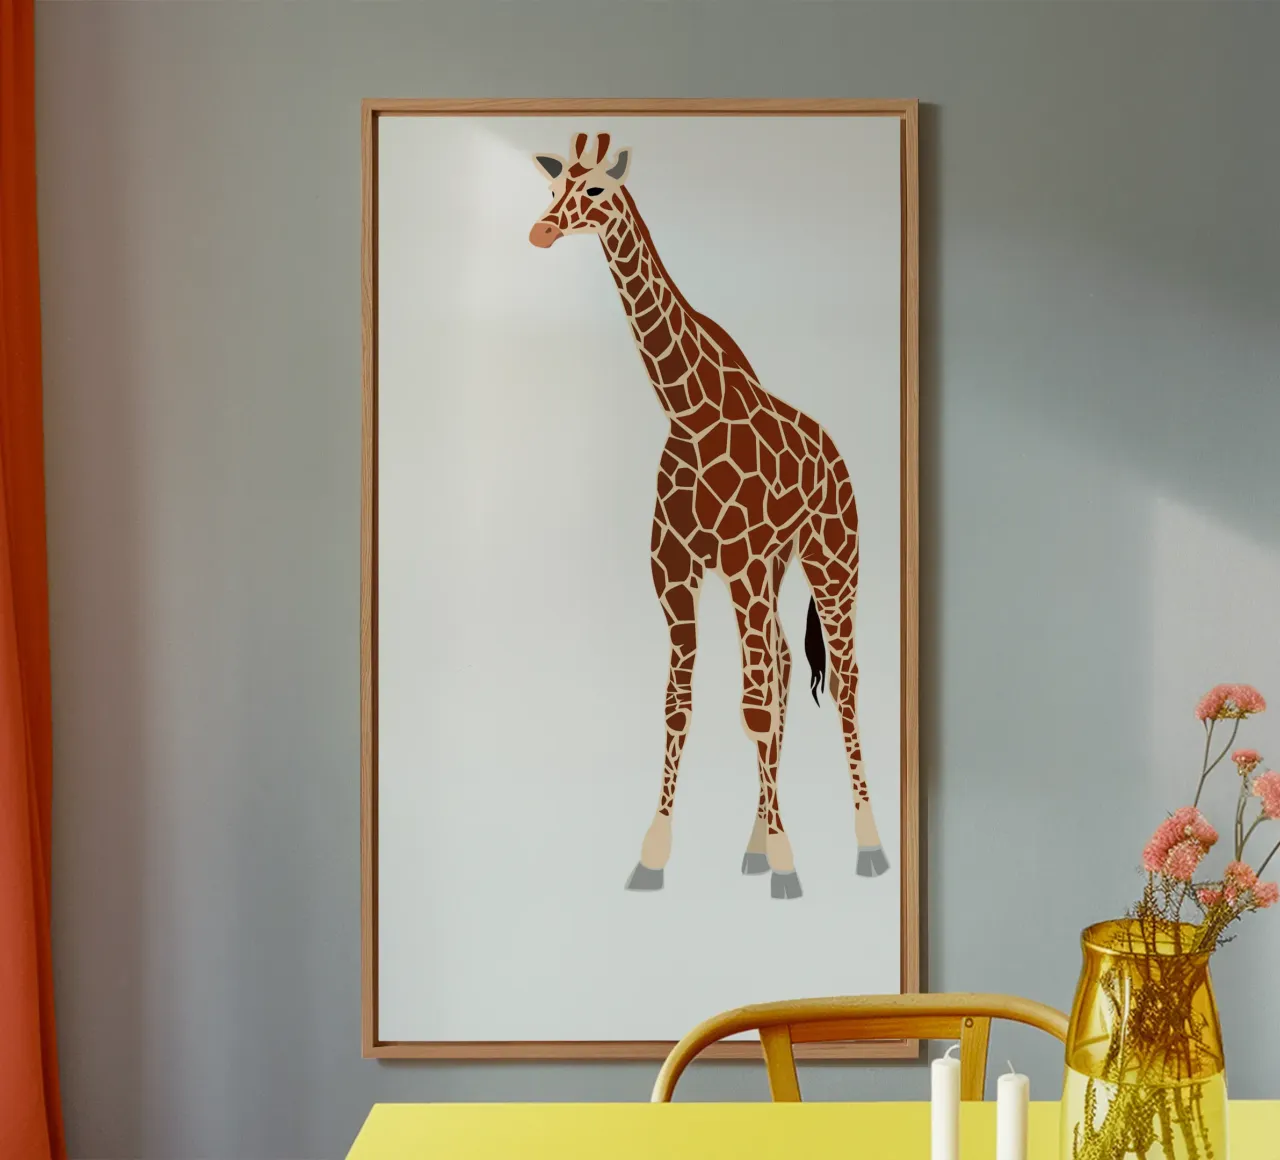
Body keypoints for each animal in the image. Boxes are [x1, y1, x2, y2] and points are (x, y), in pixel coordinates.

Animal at [529, 132, 890, 899]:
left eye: (596, 190)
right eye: (552, 186)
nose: (541, 231)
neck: (689, 412)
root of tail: (838, 454)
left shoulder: (743, 561)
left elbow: (752, 708)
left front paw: (788, 863)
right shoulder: (674, 569)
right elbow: (681, 703)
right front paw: (655, 855)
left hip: (831, 558)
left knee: (840, 681)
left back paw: (866, 845)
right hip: (773, 569)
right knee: (781, 664)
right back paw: (755, 842)